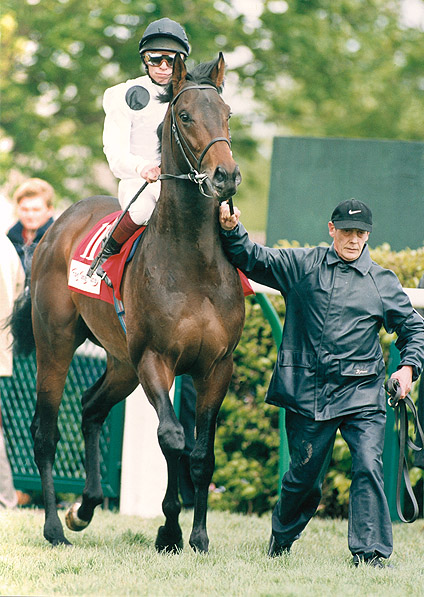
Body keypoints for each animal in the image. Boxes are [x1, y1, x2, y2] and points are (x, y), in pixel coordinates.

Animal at [10, 53, 245, 552]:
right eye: (184, 116)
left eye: (228, 113)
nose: (226, 176)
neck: (192, 263)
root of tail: (57, 226)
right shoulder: (156, 358)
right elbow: (172, 438)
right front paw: (169, 529)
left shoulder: (217, 366)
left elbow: (202, 452)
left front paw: (198, 536)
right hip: (57, 344)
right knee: (45, 431)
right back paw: (55, 527)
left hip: (121, 362)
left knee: (90, 407)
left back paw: (85, 507)